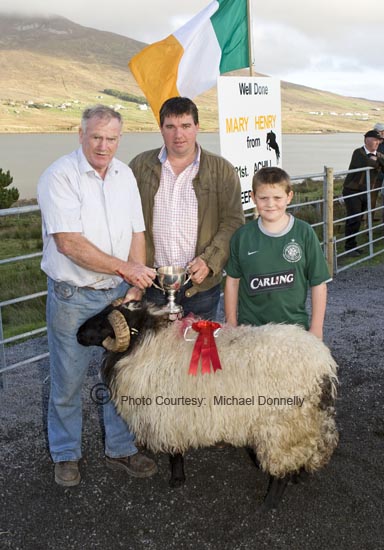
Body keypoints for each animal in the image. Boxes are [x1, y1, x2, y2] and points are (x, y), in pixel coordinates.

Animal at [78, 302, 340, 512]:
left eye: (104, 323)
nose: (78, 333)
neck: (144, 342)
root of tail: (323, 367)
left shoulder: (169, 413)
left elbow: (175, 453)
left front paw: (177, 479)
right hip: (304, 423)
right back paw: (297, 476)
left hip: (283, 427)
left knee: (282, 470)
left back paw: (270, 504)